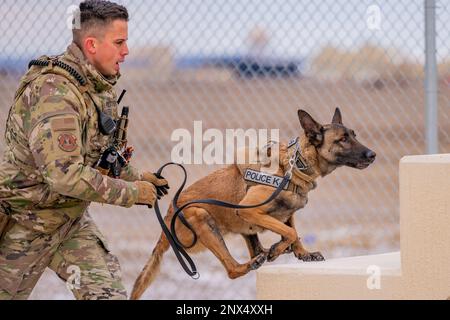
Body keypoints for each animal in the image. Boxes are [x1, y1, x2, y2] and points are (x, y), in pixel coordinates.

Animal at [131, 108, 376, 300]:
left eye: (354, 135)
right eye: (342, 139)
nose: (372, 154)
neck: (294, 167)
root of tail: (166, 221)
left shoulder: (286, 213)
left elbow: (293, 231)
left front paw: (301, 253)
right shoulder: (251, 211)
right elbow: (289, 232)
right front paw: (281, 248)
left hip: (240, 229)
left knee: (256, 248)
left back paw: (269, 251)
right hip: (200, 215)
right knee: (232, 269)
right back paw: (254, 262)